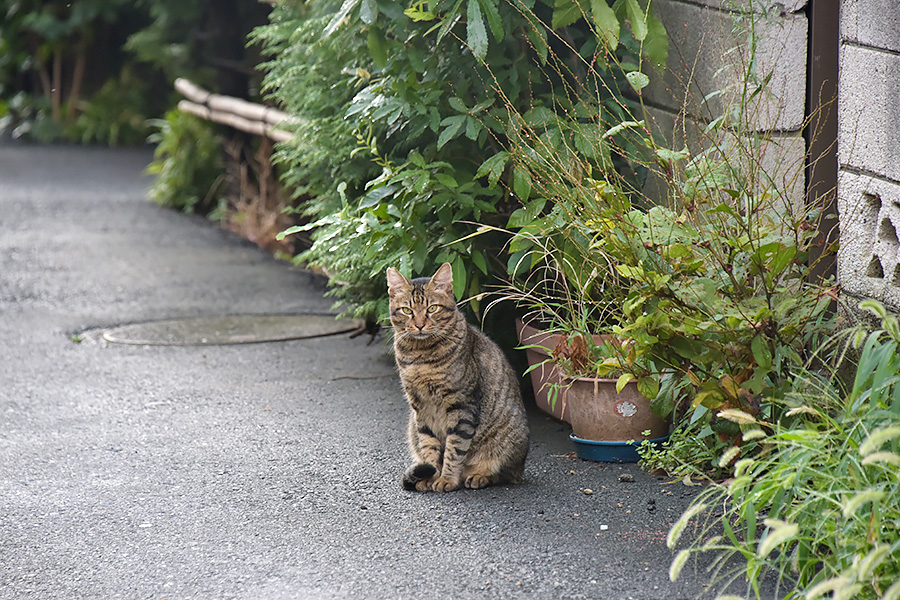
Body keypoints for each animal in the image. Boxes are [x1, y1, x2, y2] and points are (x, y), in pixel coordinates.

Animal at [384, 262, 528, 492]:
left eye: (432, 308)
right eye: (407, 310)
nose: (419, 325)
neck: (420, 357)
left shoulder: (462, 405)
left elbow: (454, 449)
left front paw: (447, 479)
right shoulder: (420, 408)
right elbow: (429, 446)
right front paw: (431, 475)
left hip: (509, 443)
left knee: (504, 474)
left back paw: (478, 476)